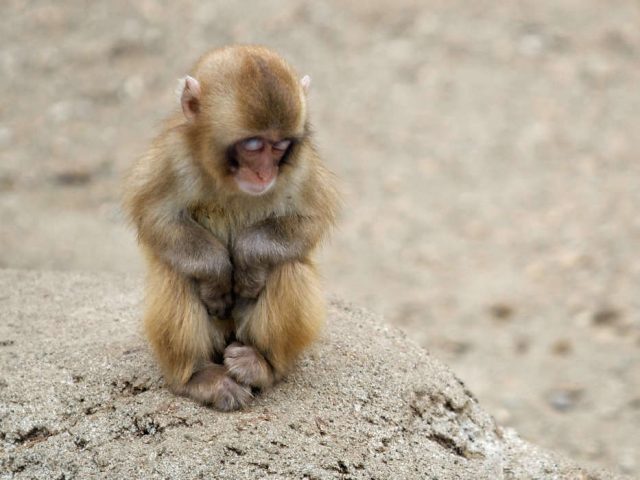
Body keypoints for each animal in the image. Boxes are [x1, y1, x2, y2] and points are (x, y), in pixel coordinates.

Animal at [127, 45, 342, 410]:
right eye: (253, 145)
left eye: (280, 145)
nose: (265, 173)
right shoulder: (173, 156)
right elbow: (155, 215)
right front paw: (216, 274)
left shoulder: (301, 168)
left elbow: (309, 219)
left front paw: (247, 261)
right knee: (174, 272)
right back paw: (197, 377)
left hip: (243, 329)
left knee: (289, 267)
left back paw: (263, 365)